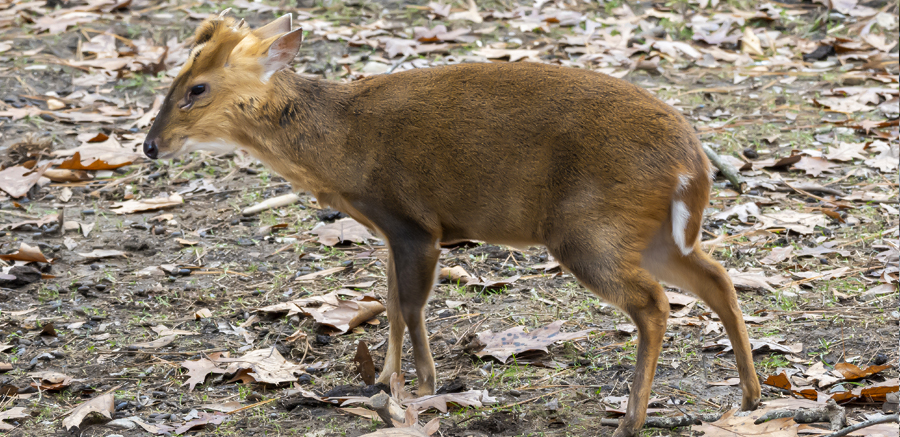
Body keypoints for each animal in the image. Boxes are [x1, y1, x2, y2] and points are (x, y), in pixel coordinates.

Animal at [146, 13, 760, 436]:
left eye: (197, 88)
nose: (151, 146)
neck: (339, 144)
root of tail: (692, 162)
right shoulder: (390, 232)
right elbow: (390, 304)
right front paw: (382, 383)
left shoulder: (413, 224)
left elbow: (410, 305)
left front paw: (423, 386)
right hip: (650, 233)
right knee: (717, 279)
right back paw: (751, 397)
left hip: (588, 229)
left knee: (655, 303)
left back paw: (632, 418)